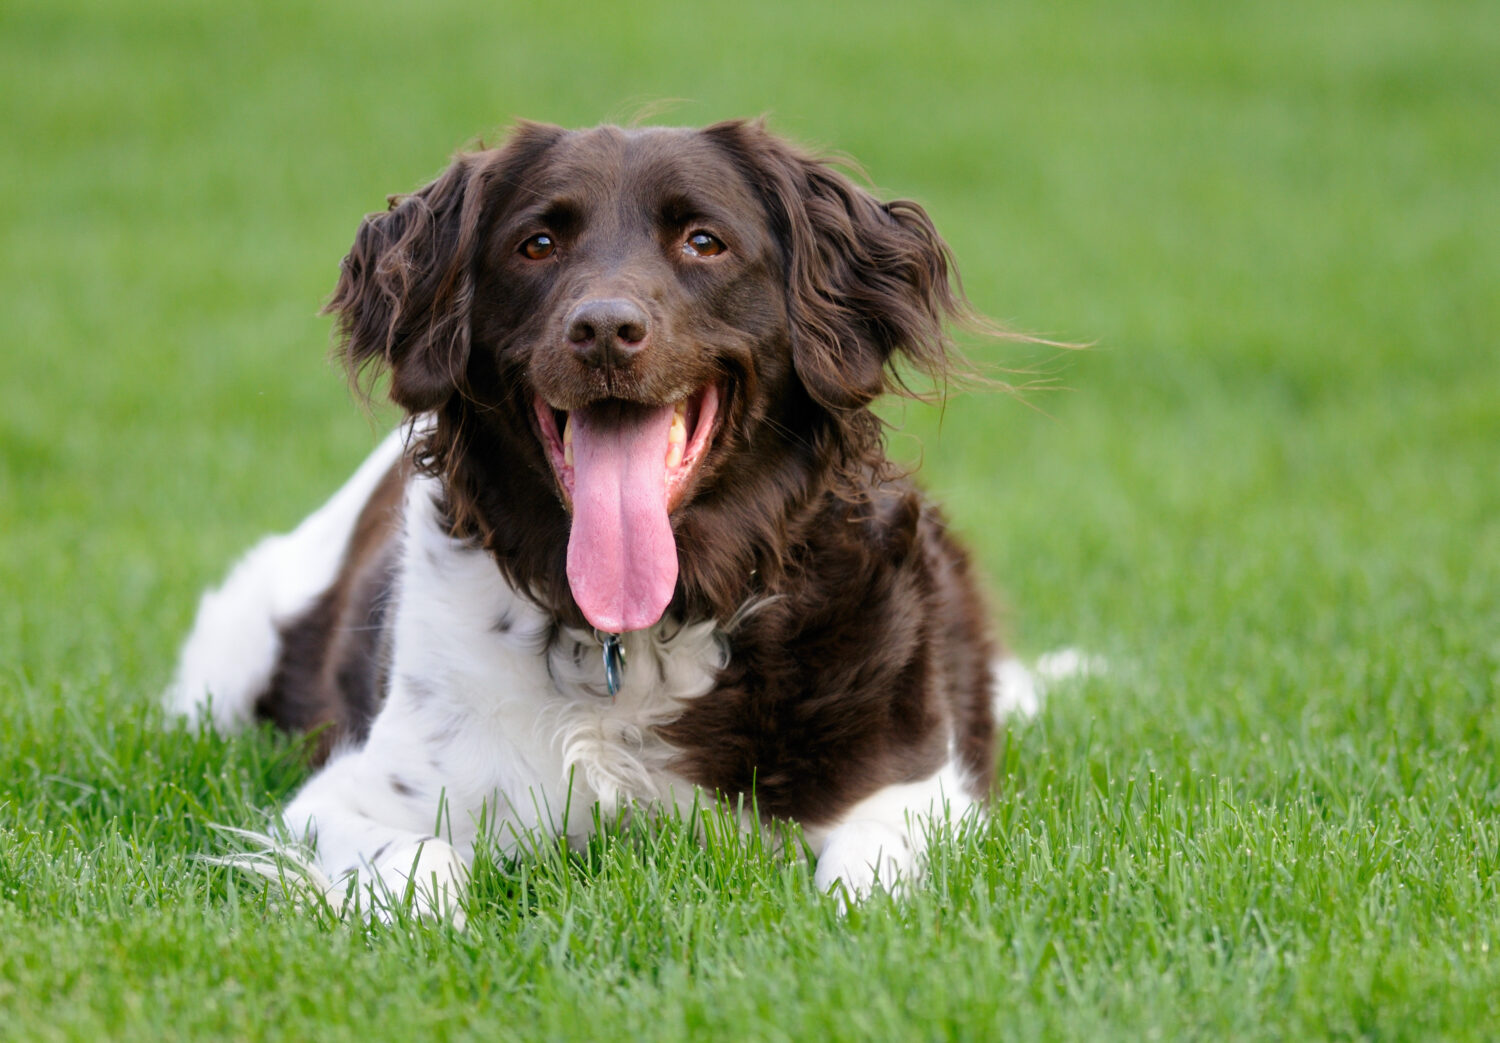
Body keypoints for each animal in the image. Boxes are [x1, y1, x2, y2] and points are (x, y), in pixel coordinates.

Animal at [170, 124, 1050, 924]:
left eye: (703, 241)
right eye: (537, 243)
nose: (602, 330)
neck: (636, 636)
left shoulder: (913, 793)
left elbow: (867, 877)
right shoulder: (344, 799)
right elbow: (423, 873)